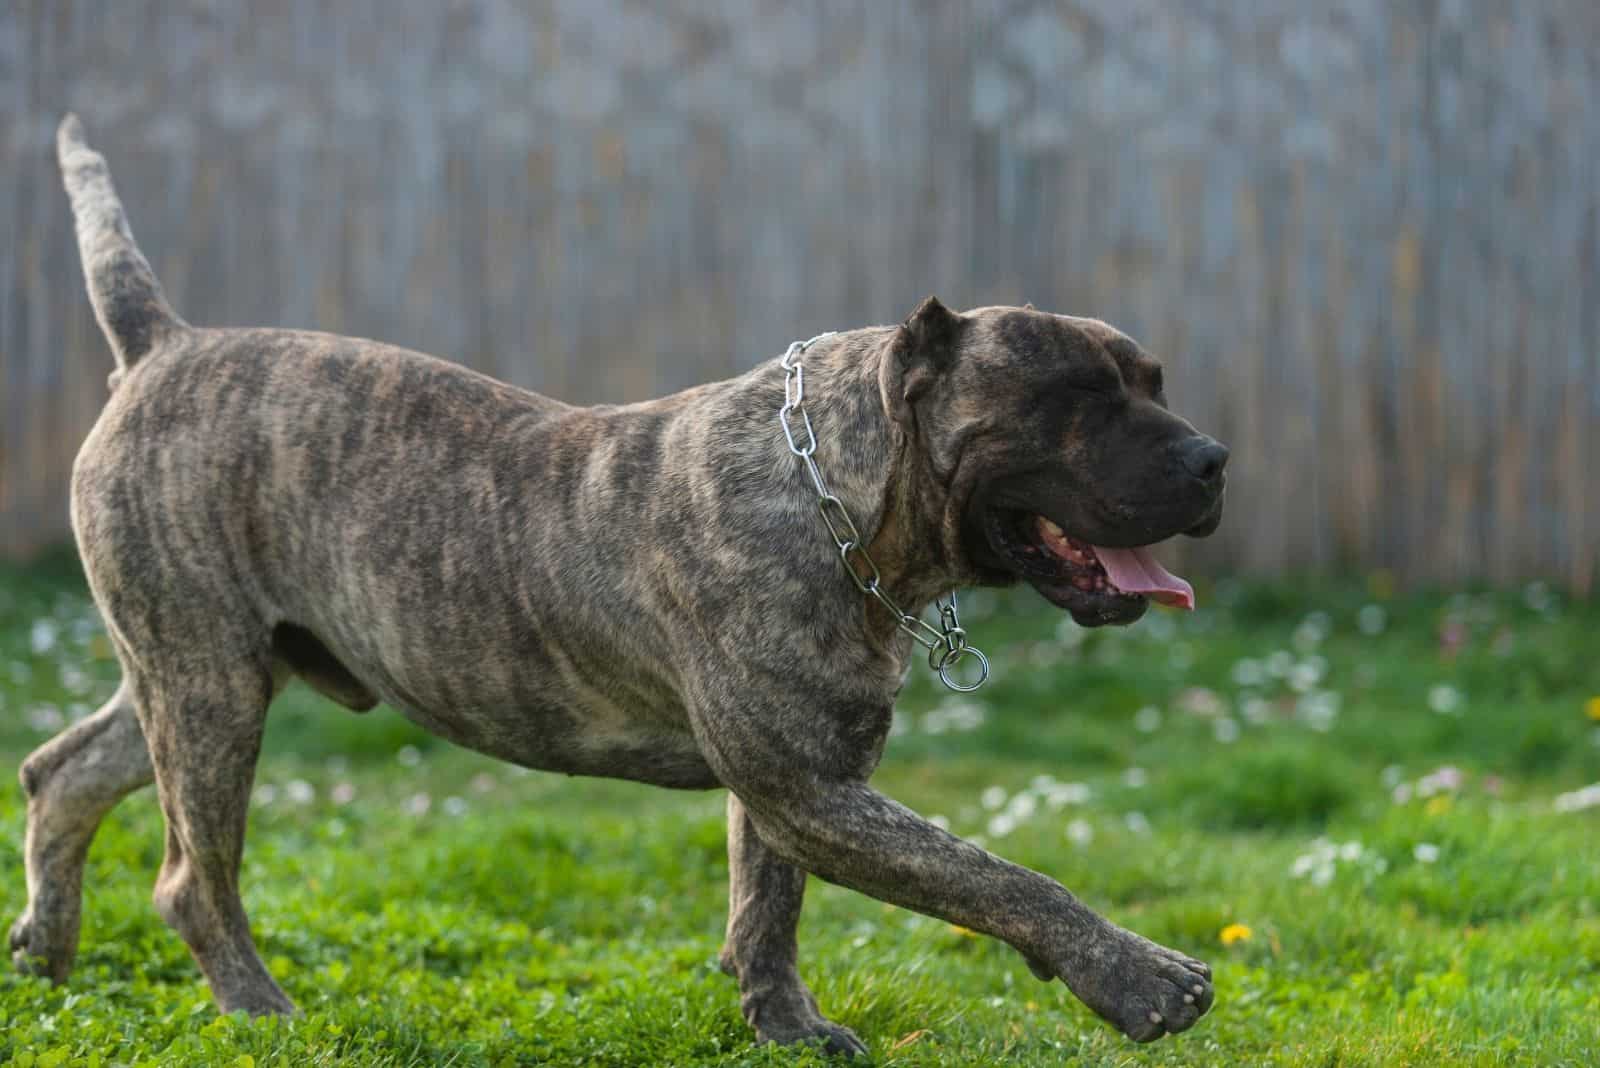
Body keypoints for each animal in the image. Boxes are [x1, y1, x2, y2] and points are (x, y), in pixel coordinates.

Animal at [12, 116, 1228, 1048]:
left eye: (1157, 382)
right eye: (1078, 397)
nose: (1214, 459)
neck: (834, 486)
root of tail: (164, 345)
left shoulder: (801, 784)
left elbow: (766, 910)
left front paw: (786, 1030)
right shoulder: (810, 788)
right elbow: (997, 875)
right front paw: (1137, 976)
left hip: (202, 670)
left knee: (64, 771)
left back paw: (47, 950)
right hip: (209, 684)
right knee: (191, 877)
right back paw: (263, 1012)